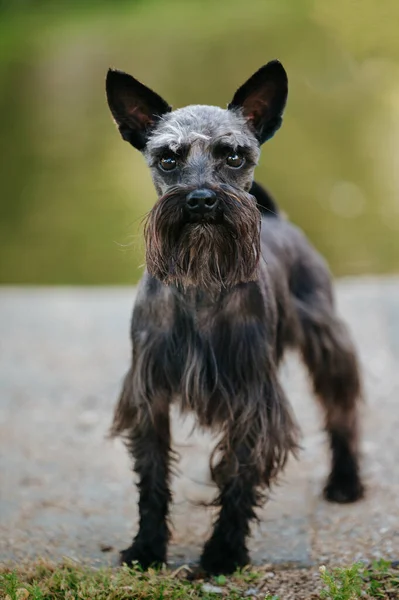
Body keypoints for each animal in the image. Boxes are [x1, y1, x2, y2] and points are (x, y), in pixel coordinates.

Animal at [104, 58, 364, 576]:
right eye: (168, 158)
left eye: (234, 156)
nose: (202, 199)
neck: (202, 284)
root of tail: (279, 218)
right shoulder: (148, 395)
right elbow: (153, 477)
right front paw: (146, 548)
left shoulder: (251, 398)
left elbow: (240, 475)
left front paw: (224, 551)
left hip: (326, 339)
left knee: (341, 409)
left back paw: (346, 481)